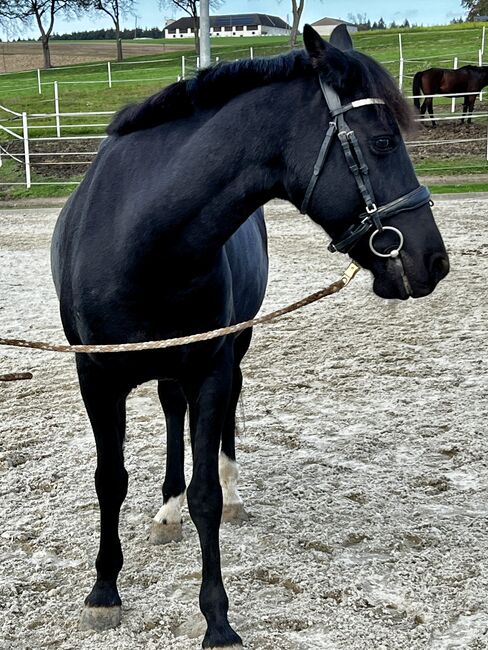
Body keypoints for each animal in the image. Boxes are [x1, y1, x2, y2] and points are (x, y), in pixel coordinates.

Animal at [51, 24, 448, 648]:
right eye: (383, 141)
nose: (434, 261)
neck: (140, 240)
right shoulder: (96, 376)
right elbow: (109, 480)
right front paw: (104, 592)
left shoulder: (211, 368)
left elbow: (206, 495)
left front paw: (217, 619)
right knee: (171, 412)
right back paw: (166, 511)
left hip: (231, 351)